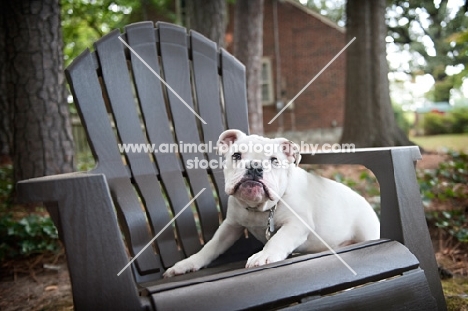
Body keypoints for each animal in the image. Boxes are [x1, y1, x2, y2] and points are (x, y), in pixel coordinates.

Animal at [165, 129, 380, 278]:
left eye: (274, 160)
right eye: (236, 155)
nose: (254, 167)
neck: (258, 208)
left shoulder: (297, 224)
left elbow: (278, 239)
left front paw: (263, 255)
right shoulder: (230, 226)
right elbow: (211, 246)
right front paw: (187, 264)